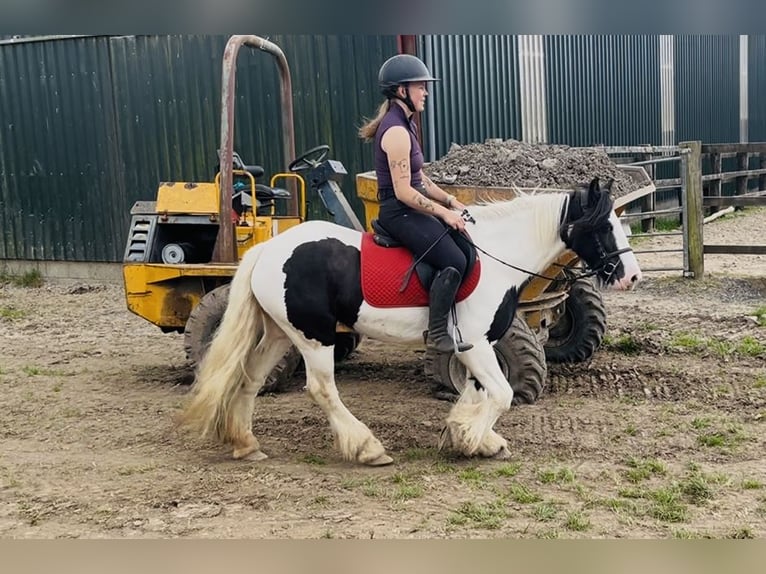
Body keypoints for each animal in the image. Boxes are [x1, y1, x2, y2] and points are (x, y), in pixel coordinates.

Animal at [179, 177, 642, 466]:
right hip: (313, 336)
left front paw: (466, 434)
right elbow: (502, 393)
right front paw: (471, 441)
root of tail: (266, 249)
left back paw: (246, 444)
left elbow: (479, 391)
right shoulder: (474, 342)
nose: (632, 276)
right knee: (322, 389)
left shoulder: (479, 345)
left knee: (250, 378)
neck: (497, 258)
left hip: (280, 333)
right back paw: (367, 448)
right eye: (604, 227)